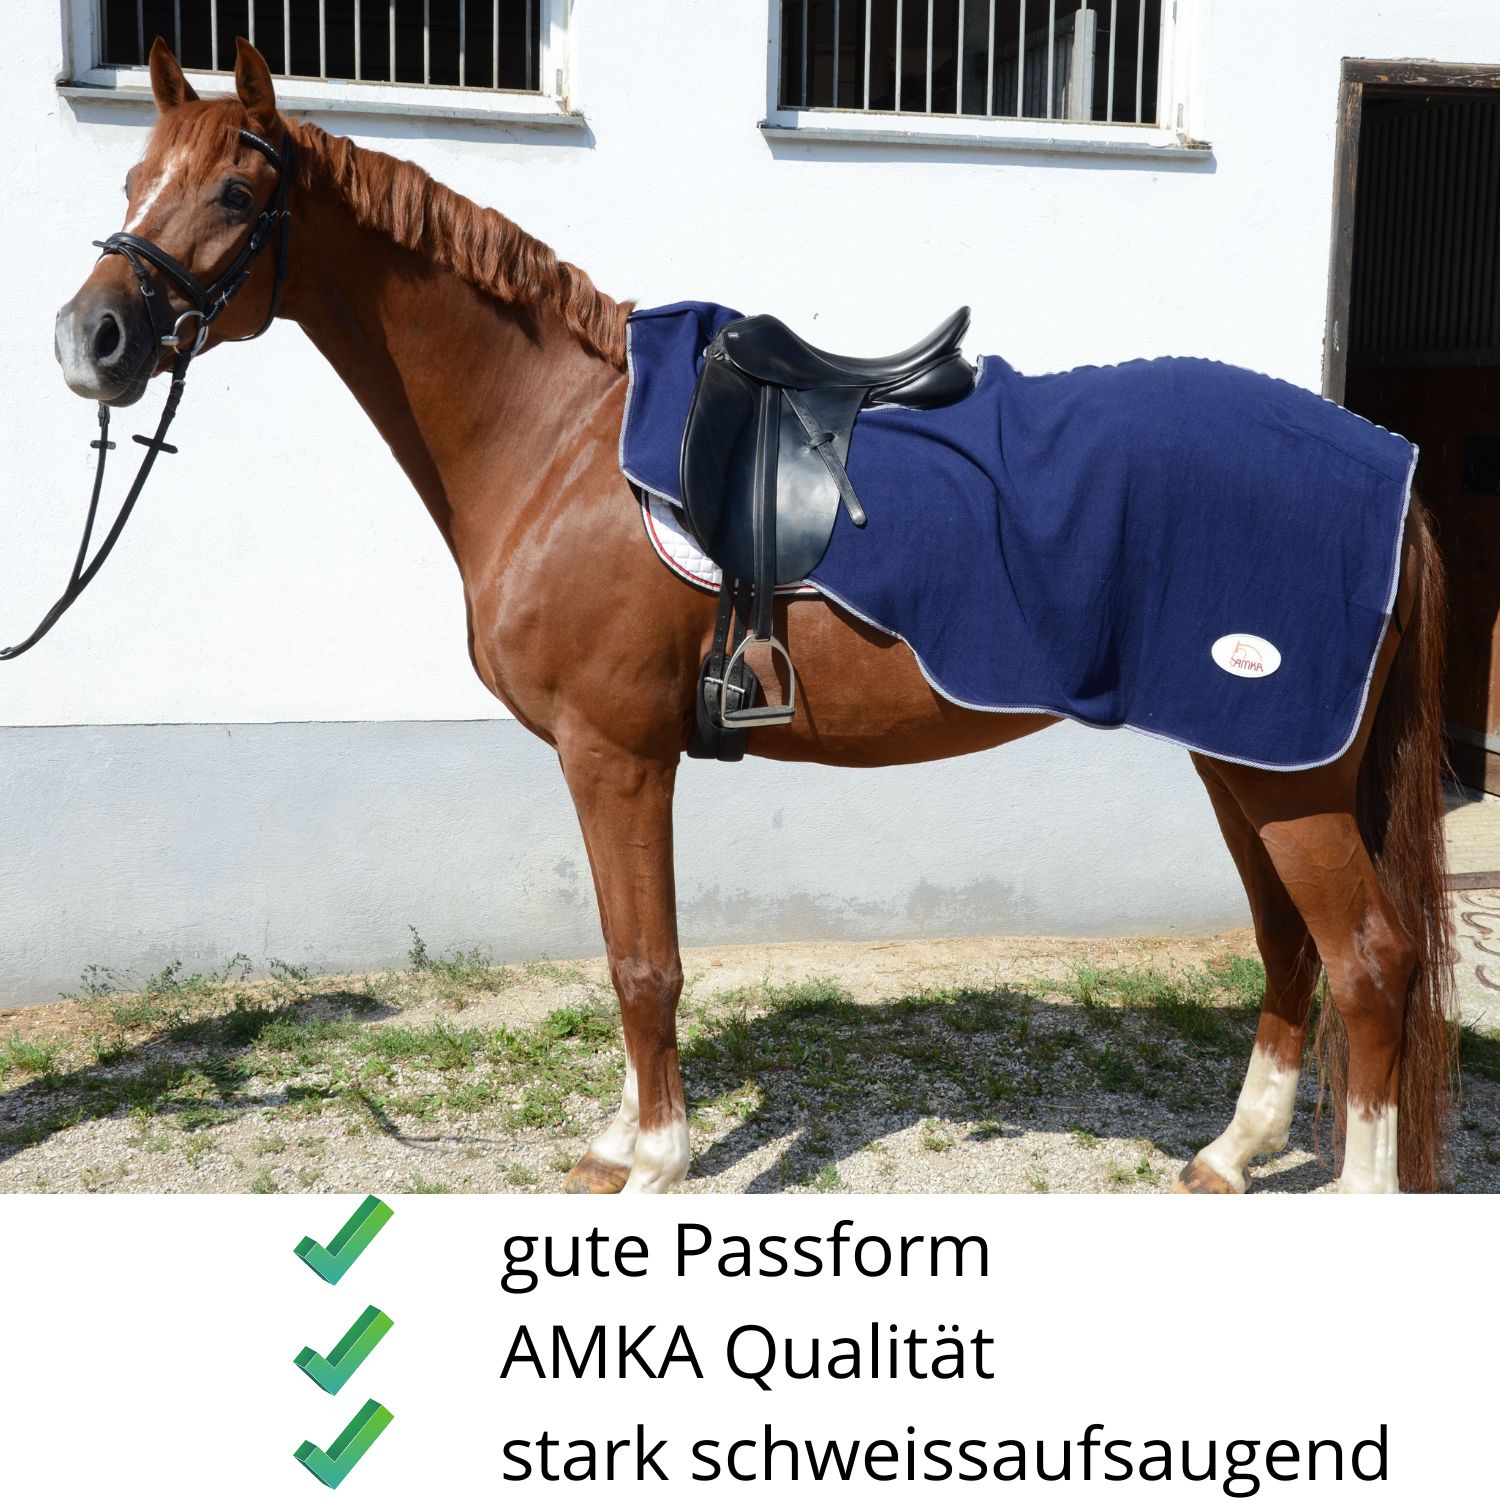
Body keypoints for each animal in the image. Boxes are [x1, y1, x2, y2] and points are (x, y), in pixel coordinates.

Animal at [51, 39, 1456, 1194]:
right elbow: (625, 950)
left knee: (1369, 960)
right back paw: (1231, 1155)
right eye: (131, 182)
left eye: (237, 197)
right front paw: (621, 1140)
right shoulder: (610, 760)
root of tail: (1386, 466)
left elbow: (645, 964)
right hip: (1243, 760)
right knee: (1290, 948)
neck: (557, 438)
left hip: (1283, 773)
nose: (90, 339)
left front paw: (659, 1164)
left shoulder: (616, 755)